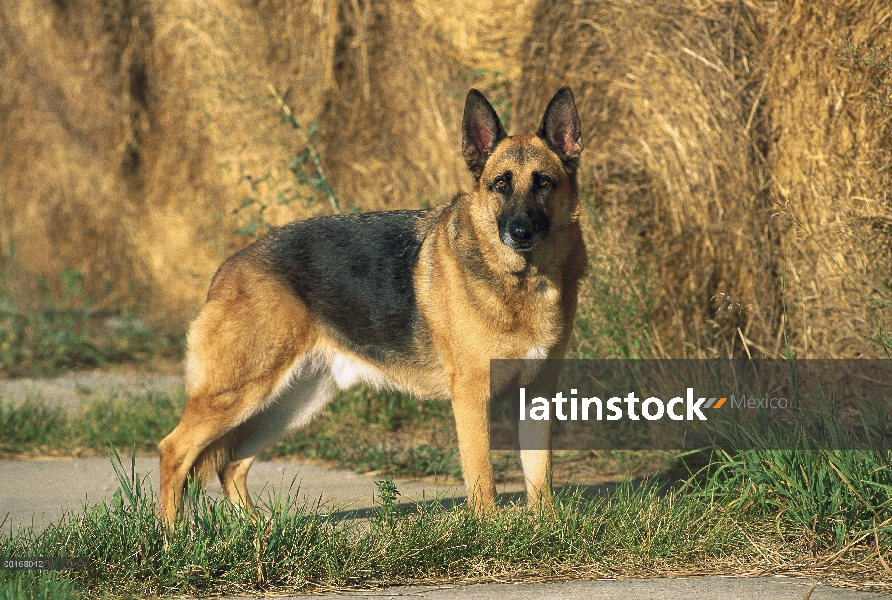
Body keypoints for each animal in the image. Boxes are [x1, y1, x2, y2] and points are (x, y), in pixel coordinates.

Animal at [157, 84, 584, 524]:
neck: (523, 281)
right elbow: (483, 478)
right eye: (501, 184)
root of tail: (228, 268)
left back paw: (258, 530)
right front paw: (487, 530)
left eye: (543, 183)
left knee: (232, 463)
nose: (520, 232)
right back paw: (174, 536)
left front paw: (548, 527)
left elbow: (540, 475)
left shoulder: (536, 396)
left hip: (291, 404)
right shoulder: (470, 397)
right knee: (174, 451)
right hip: (236, 394)